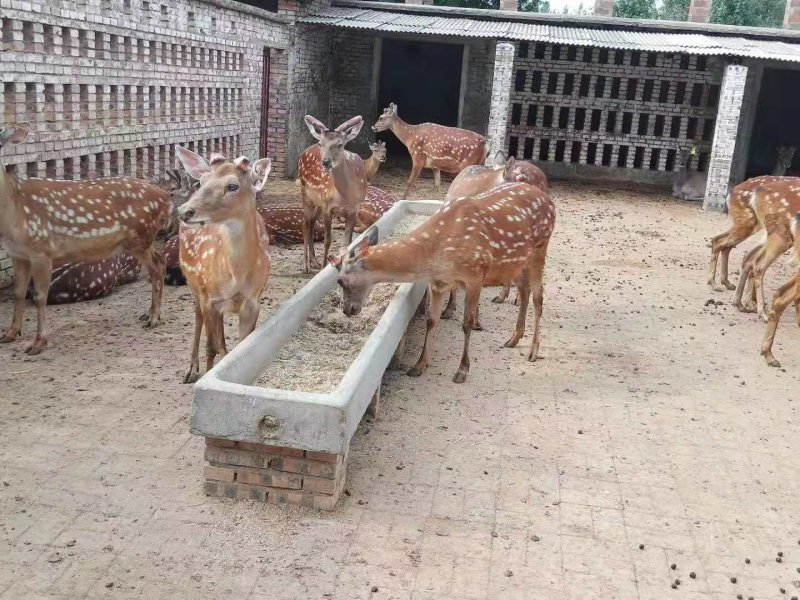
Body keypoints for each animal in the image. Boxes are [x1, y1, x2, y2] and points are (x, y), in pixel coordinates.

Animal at [0, 122, 171, 354]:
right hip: (144, 239)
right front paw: (10, 333)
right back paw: (149, 314)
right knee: (160, 262)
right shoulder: (17, 254)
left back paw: (154, 318)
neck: (14, 211)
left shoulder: (41, 248)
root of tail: (165, 197)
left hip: (139, 236)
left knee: (156, 267)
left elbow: (39, 296)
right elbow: (18, 293)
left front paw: (38, 342)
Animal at [174, 148, 272, 383]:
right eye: (202, 181)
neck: (237, 276)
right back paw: (191, 369)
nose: (184, 211)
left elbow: (238, 346)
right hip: (194, 283)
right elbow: (211, 347)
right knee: (198, 317)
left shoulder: (252, 301)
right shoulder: (209, 298)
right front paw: (205, 376)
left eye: (232, 185)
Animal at [297, 115, 367, 273]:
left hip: (318, 202)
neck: (345, 196)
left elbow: (347, 243)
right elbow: (327, 240)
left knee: (311, 223)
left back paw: (314, 262)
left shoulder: (354, 210)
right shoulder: (328, 207)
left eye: (340, 144)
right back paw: (306, 266)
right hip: (305, 193)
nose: (325, 162)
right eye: (321, 143)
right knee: (305, 224)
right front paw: (324, 267)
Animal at [329, 182, 555, 383]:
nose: (348, 309)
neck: (435, 256)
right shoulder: (437, 283)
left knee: (539, 297)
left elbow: (466, 323)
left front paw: (462, 370)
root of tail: (549, 201)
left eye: (340, 280)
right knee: (525, 290)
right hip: (514, 263)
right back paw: (513, 338)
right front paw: (419, 365)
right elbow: (431, 320)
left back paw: (533, 350)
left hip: (539, 249)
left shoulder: (474, 276)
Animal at [732, 180, 800, 321]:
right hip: (780, 234)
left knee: (750, 258)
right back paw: (762, 312)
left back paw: (742, 304)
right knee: (758, 264)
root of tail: (758, 193)